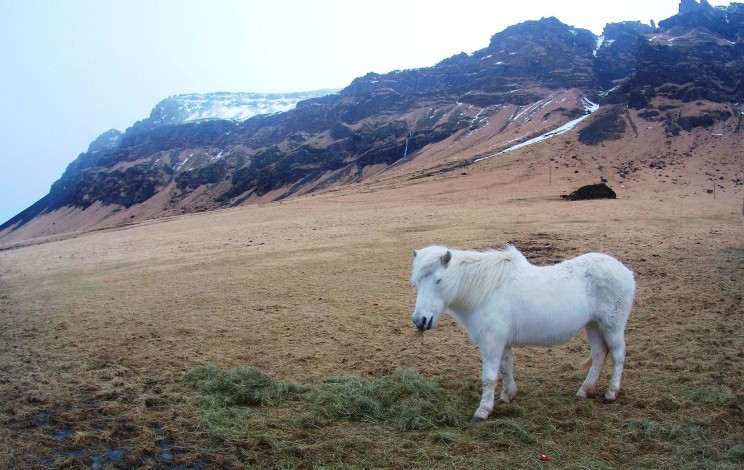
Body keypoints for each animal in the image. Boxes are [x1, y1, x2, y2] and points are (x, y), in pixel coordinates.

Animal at [410, 244, 635, 422]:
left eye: (438, 281)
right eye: (417, 282)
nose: (420, 320)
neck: (487, 291)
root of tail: (626, 272)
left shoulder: (491, 343)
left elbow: (489, 377)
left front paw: (482, 411)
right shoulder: (502, 342)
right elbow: (506, 368)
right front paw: (508, 395)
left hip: (612, 327)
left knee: (617, 355)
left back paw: (611, 393)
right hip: (594, 326)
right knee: (598, 355)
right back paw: (585, 390)